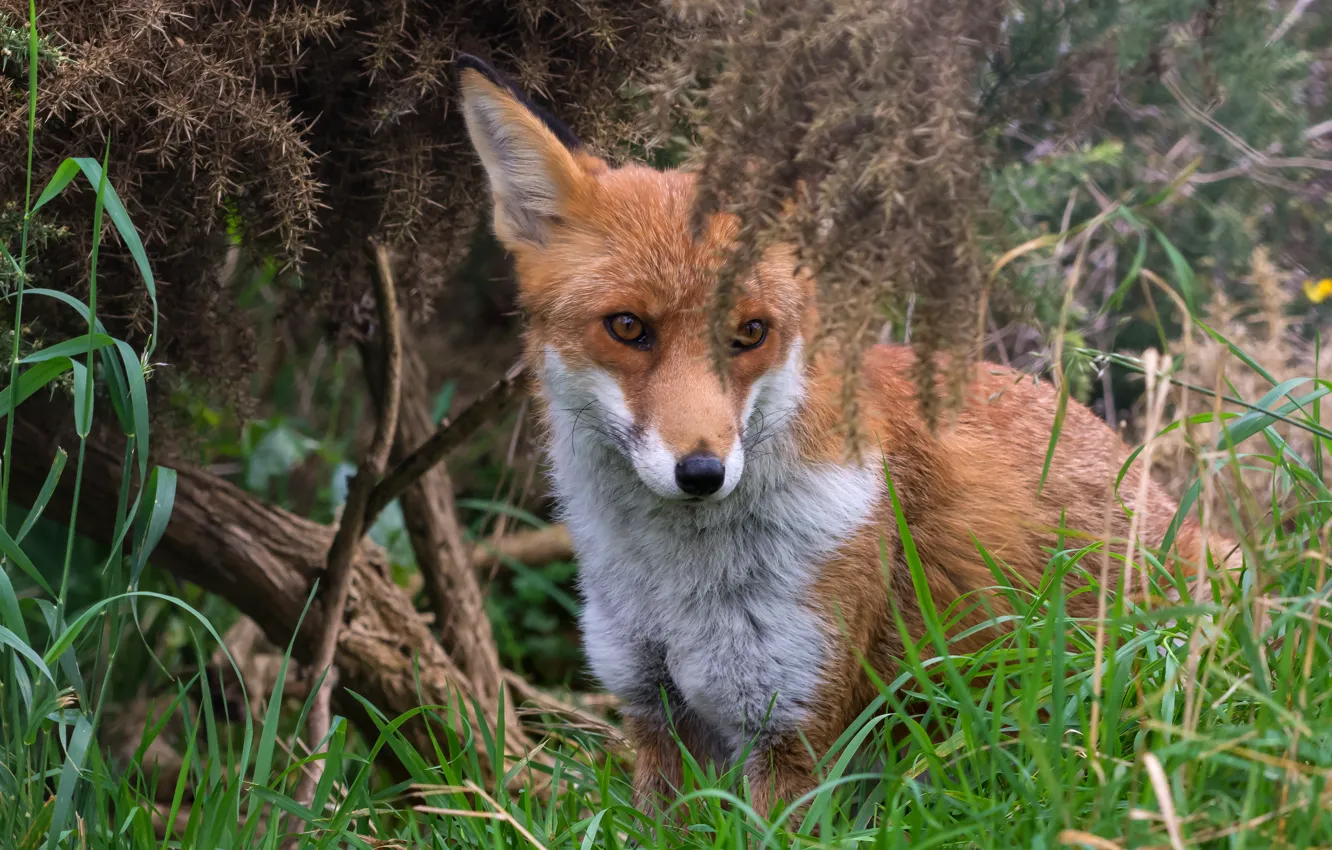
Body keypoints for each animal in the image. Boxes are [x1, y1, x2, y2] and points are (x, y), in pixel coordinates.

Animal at [455, 55, 1235, 818]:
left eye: (751, 332)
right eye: (627, 327)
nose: (702, 473)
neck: (675, 591)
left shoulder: (796, 731)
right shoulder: (655, 715)